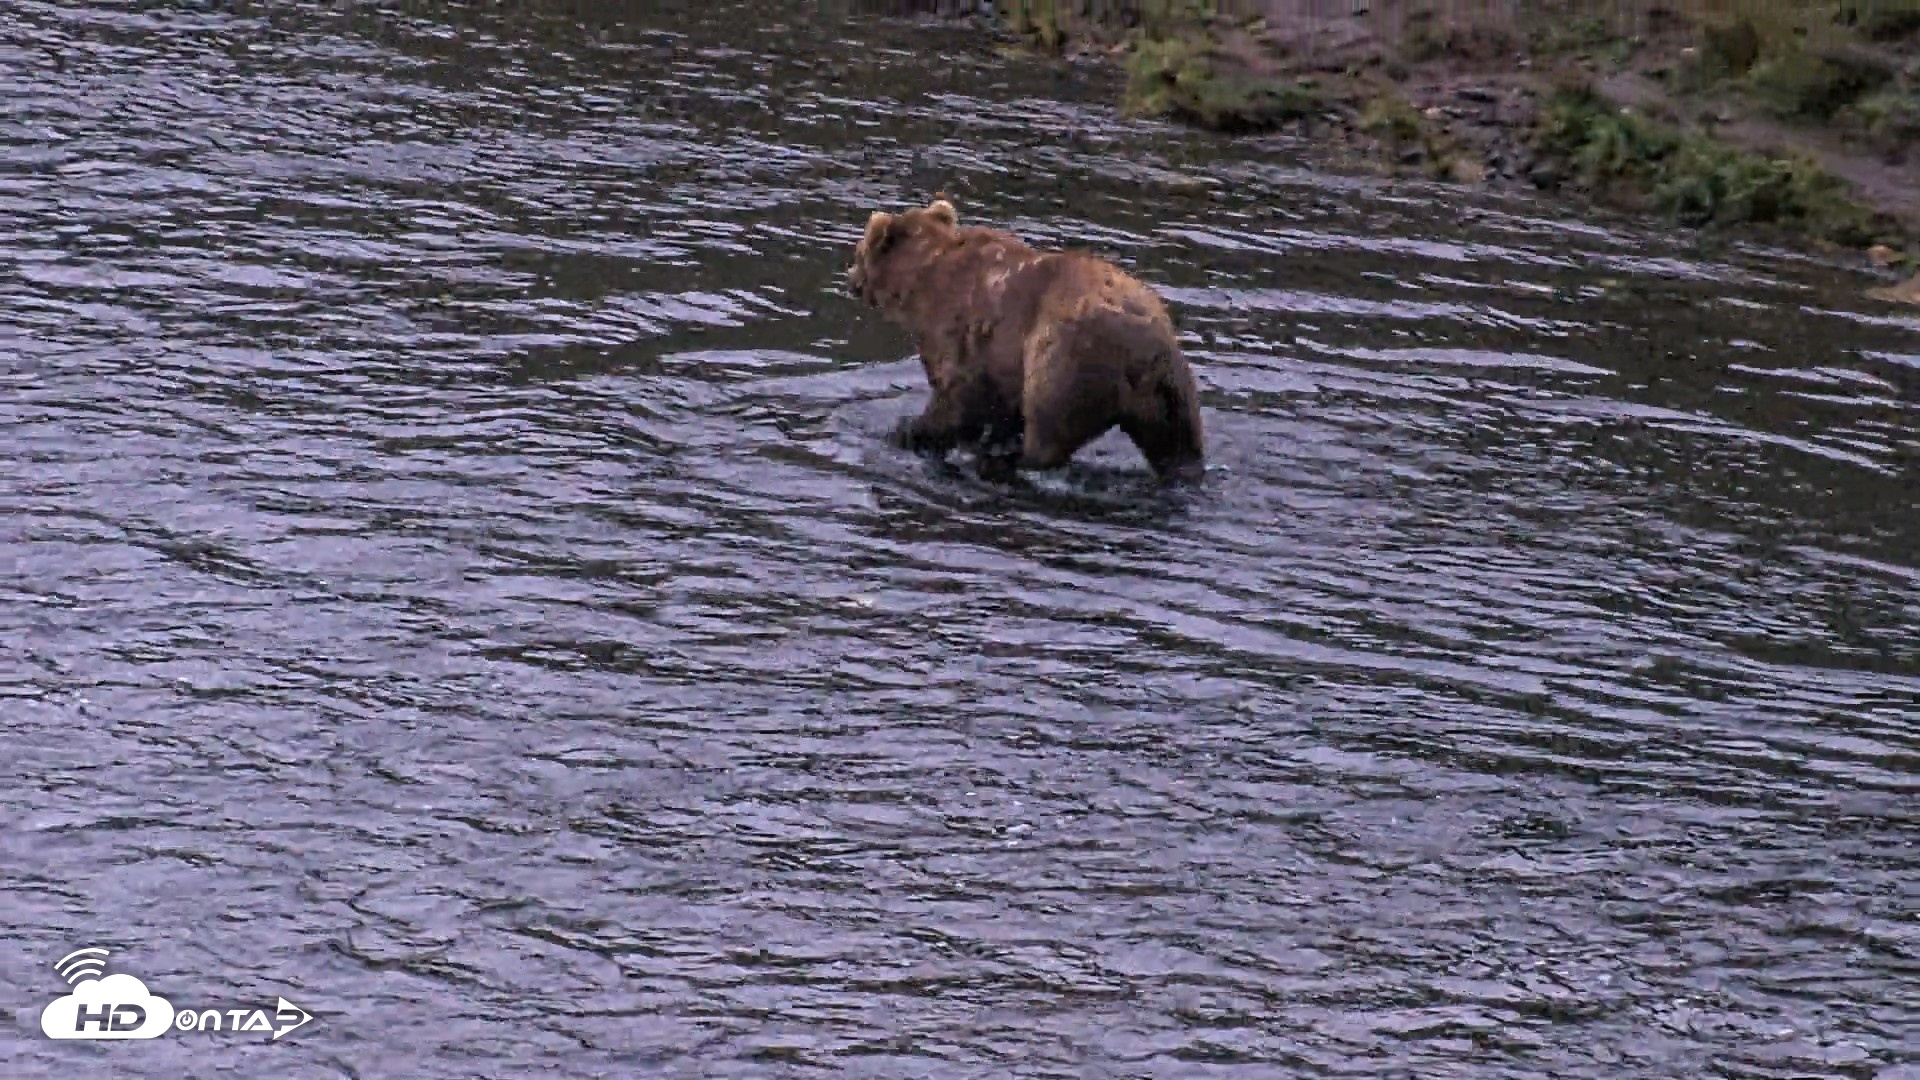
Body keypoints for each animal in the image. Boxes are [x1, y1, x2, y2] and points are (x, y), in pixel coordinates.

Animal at [845, 197, 1205, 484]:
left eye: (858, 251)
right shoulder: (1002, 363)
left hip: (1065, 355)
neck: (920, 279)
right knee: (1178, 446)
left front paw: (910, 431)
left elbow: (960, 396)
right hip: (1173, 389)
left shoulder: (960, 329)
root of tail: (1147, 352)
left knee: (1048, 425)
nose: (850, 278)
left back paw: (1007, 460)